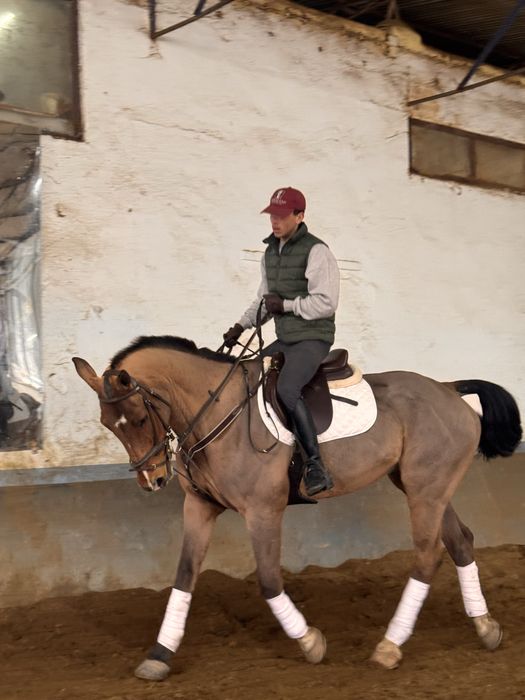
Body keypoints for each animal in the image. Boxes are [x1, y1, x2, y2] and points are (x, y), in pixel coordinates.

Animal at [73, 335, 522, 682]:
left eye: (136, 417)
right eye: (108, 424)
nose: (152, 480)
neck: (215, 412)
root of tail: (449, 389)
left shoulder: (263, 511)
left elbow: (270, 581)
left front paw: (310, 642)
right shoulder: (199, 507)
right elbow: (183, 577)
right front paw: (159, 656)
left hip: (425, 490)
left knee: (428, 555)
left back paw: (389, 646)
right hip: (425, 487)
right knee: (460, 542)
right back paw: (485, 627)